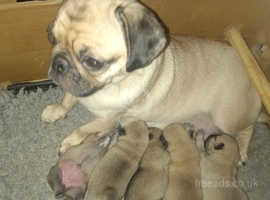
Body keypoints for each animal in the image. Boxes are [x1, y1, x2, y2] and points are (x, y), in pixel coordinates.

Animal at [42, 0, 262, 161]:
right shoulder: (74, 88)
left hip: (227, 119)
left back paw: (242, 150)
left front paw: (70, 141)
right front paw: (56, 111)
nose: (58, 63)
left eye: (93, 62)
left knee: (248, 128)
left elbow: (83, 129)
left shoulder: (106, 120)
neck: (110, 85)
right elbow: (67, 99)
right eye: (52, 38)